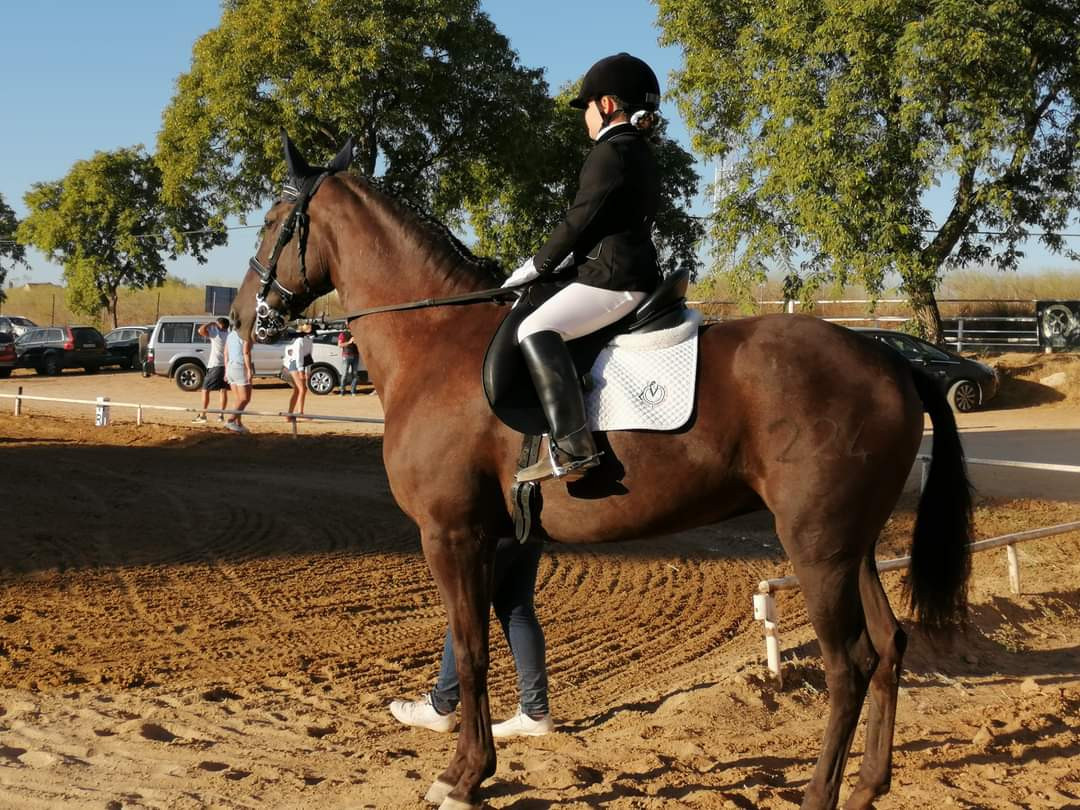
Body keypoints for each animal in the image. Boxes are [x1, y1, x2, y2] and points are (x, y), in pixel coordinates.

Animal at [232, 139, 976, 810]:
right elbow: (481, 640)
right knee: (888, 646)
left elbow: (472, 652)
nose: (242, 317)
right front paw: (471, 760)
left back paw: (821, 794)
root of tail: (891, 360)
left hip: (817, 548)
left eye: (272, 221)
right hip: (851, 545)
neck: (434, 342)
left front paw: (462, 779)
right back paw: (868, 786)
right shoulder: (490, 536)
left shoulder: (451, 533)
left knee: (849, 665)